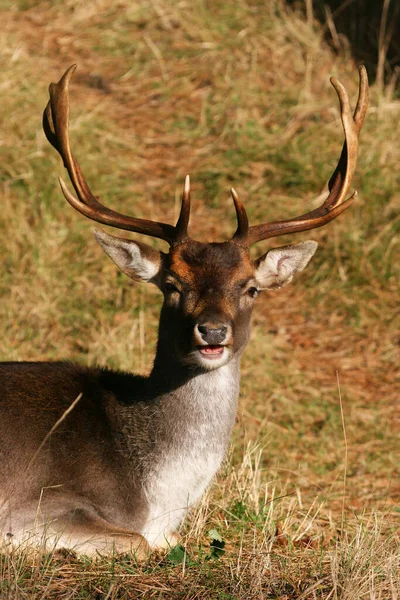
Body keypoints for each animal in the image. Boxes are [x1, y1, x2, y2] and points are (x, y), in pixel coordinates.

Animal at [0, 64, 368, 556]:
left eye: (251, 288)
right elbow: (136, 541)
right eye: (172, 286)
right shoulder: (34, 502)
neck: (156, 495)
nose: (212, 331)